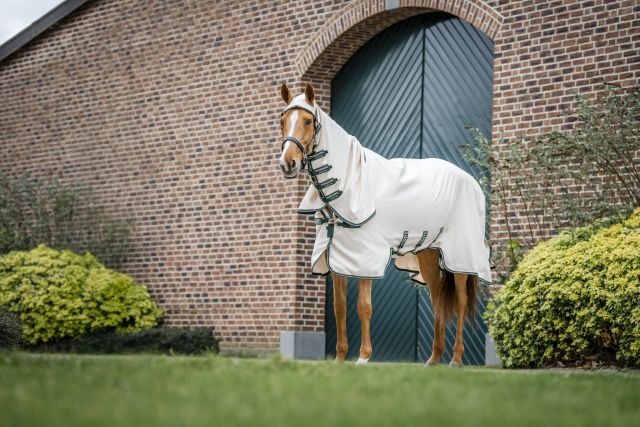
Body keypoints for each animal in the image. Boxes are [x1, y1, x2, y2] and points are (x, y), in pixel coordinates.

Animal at [278, 82, 492, 366]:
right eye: (282, 122)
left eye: (308, 120)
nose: (287, 163)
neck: (347, 186)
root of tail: (470, 180)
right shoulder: (337, 258)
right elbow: (339, 308)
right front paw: (339, 359)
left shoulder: (364, 257)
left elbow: (364, 307)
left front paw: (364, 357)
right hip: (428, 254)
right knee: (437, 299)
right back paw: (434, 359)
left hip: (461, 256)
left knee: (460, 301)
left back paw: (456, 359)